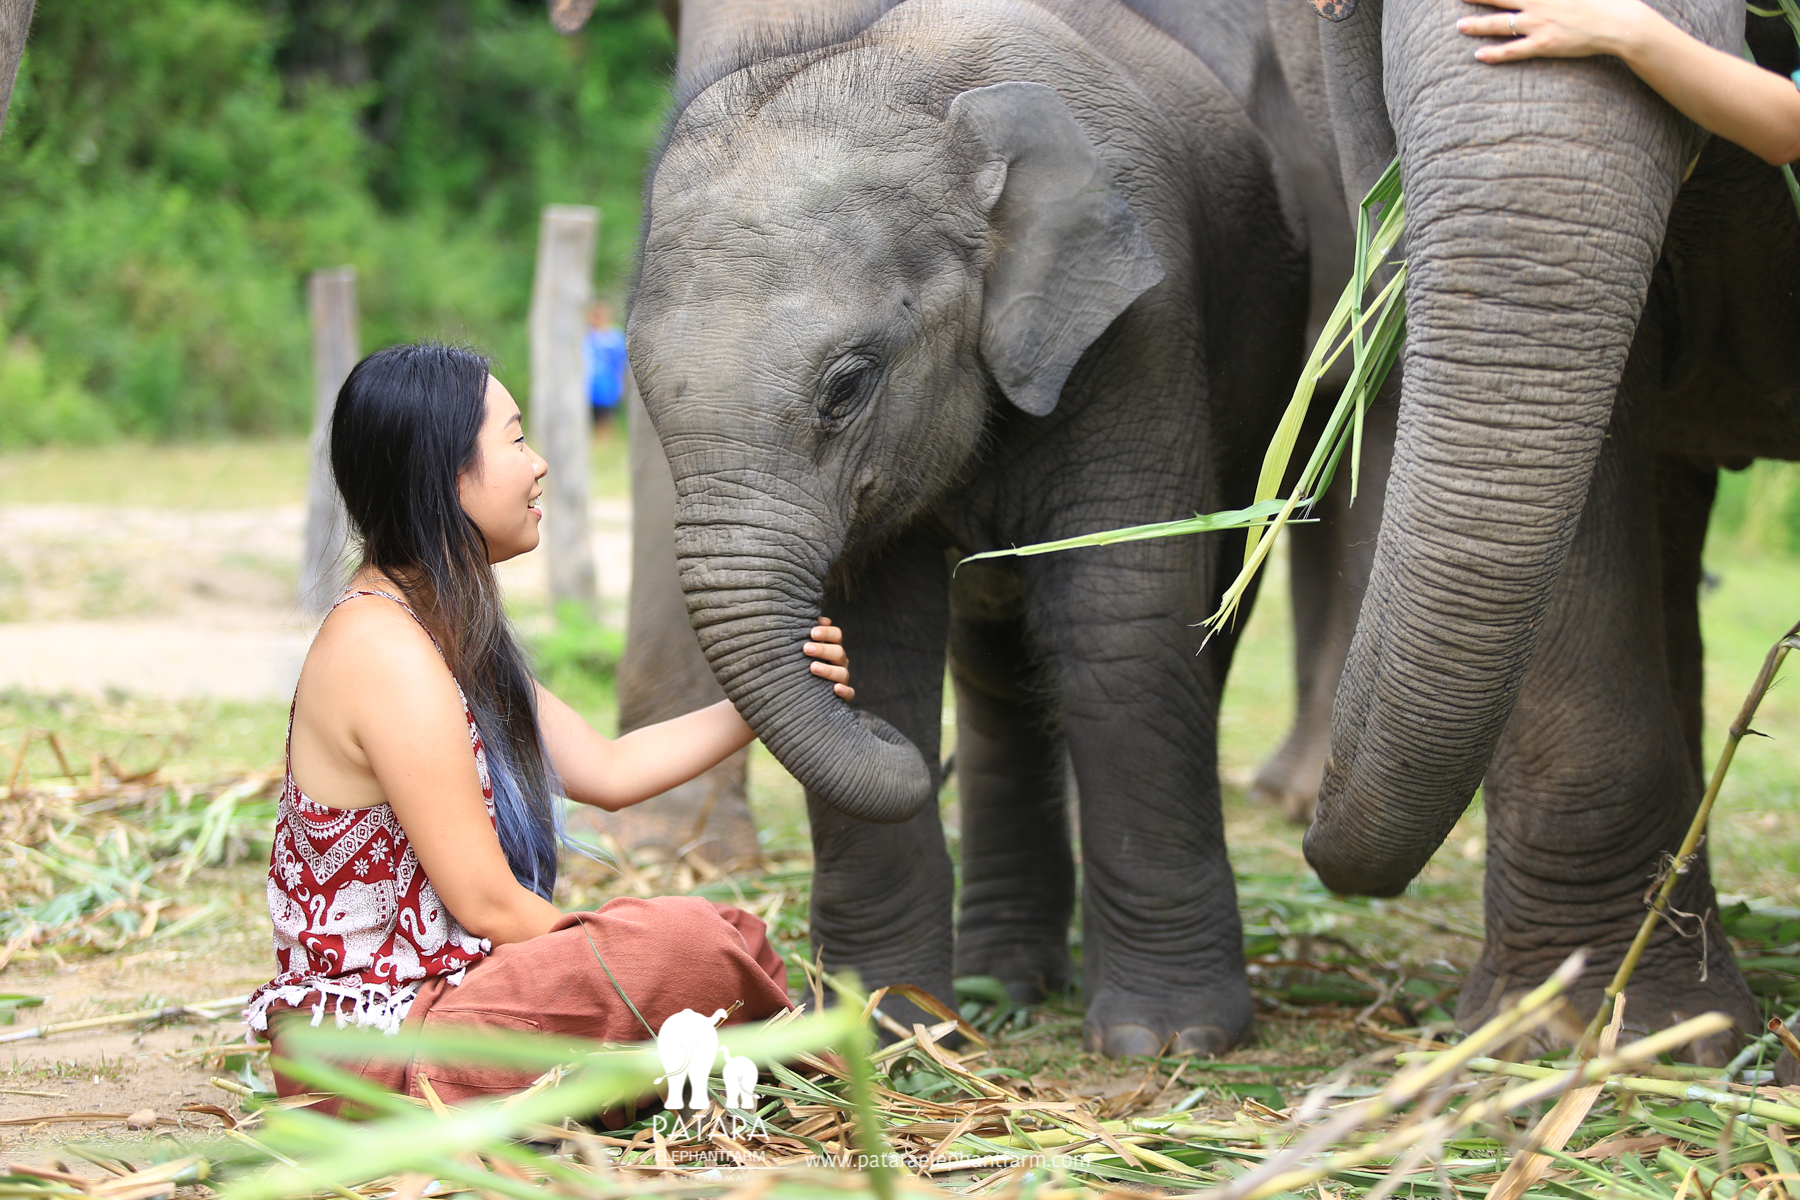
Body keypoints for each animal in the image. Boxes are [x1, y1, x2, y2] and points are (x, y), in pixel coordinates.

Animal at [626, 0, 1317, 1050]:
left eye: (847, 387)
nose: (900, 750)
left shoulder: (1142, 324)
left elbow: (1120, 614)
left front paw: (1170, 1041)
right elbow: (882, 634)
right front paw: (880, 1029)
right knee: (997, 665)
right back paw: (1002, 983)